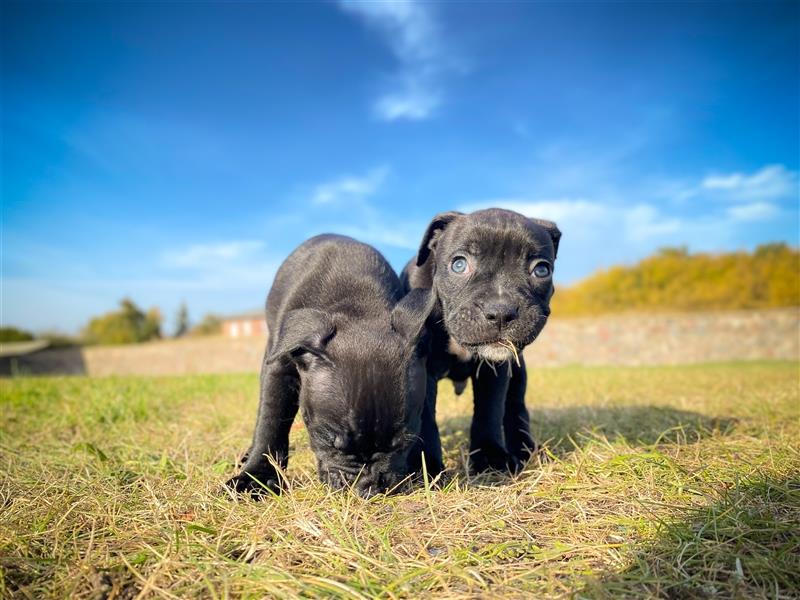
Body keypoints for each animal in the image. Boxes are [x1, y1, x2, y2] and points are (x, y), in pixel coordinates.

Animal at [228, 233, 434, 496]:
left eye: (404, 443)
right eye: (330, 441)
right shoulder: (277, 368)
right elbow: (270, 422)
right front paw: (255, 479)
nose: (367, 488)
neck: (358, 306)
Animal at [400, 209, 564, 476]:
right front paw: (425, 466)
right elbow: (424, 417)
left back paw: (526, 449)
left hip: (518, 371)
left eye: (541, 270)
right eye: (459, 264)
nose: (500, 311)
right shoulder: (419, 364)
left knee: (515, 407)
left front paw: (490, 458)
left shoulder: (496, 369)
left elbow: (490, 410)